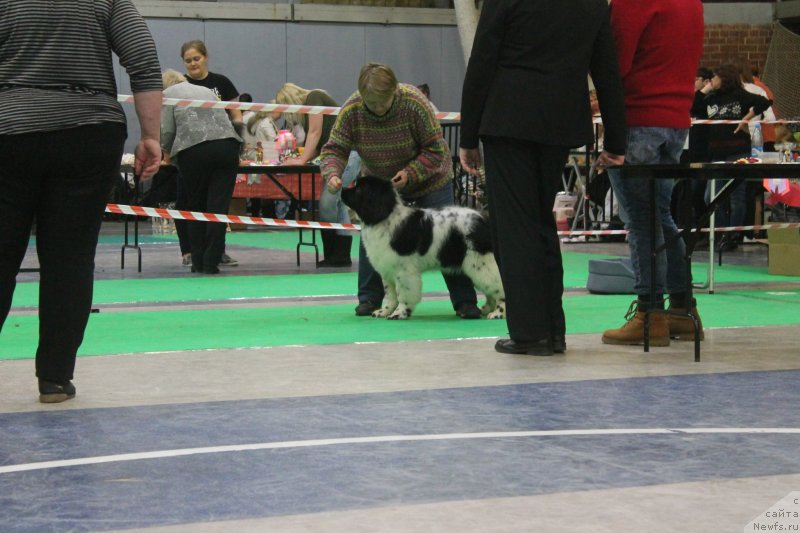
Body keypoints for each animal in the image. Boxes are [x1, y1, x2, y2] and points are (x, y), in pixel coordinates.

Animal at [340, 177, 504, 322]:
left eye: (359, 188)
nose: (342, 189)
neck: (385, 218)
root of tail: (483, 220)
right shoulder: (387, 270)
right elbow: (390, 295)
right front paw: (384, 311)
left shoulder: (404, 271)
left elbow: (403, 294)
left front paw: (399, 313)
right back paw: (486, 309)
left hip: (481, 263)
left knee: (499, 287)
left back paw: (498, 313)